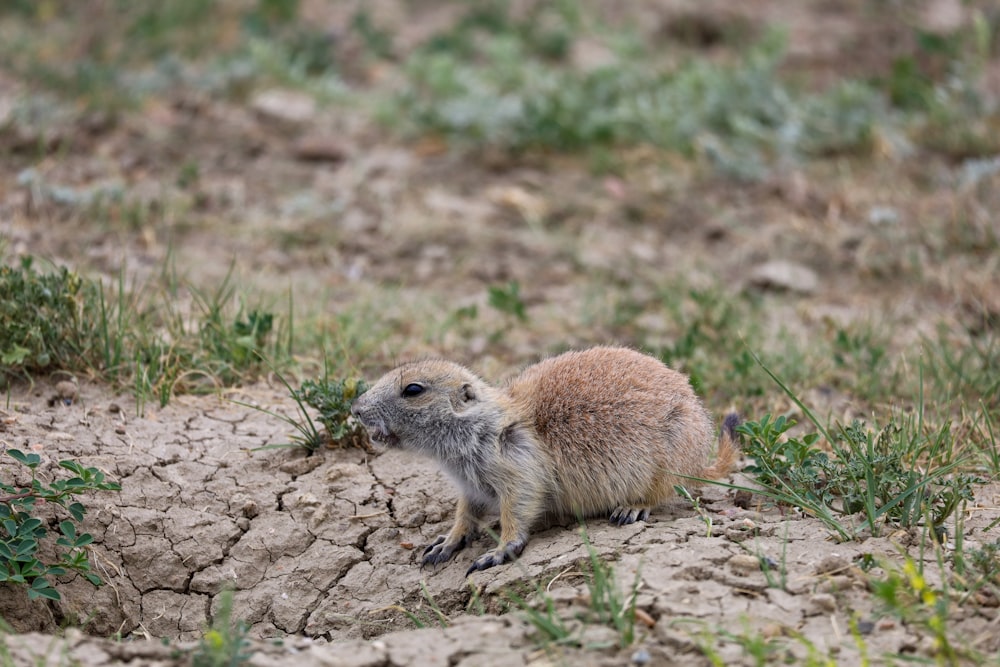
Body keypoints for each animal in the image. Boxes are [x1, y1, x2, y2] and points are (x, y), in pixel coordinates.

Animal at [350, 348, 736, 572]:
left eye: (413, 389)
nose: (355, 408)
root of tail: (701, 461)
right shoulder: (469, 484)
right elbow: (466, 513)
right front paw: (445, 542)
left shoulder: (515, 465)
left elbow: (517, 507)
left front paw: (497, 552)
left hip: (671, 460)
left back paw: (632, 508)